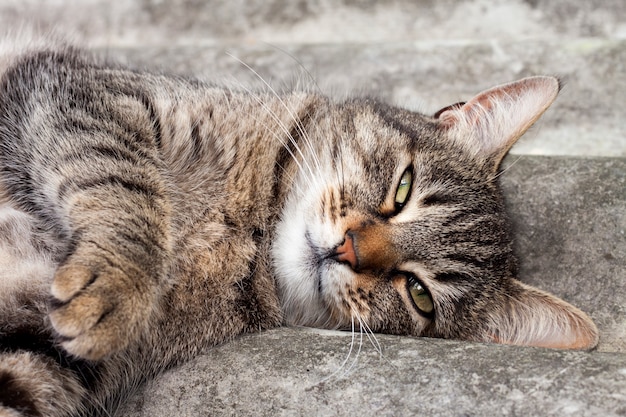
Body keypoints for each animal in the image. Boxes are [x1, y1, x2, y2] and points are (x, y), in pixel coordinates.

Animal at [0, 39, 596, 416]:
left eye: (419, 294)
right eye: (403, 188)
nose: (349, 249)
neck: (246, 230)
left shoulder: (42, 352)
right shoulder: (78, 94)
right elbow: (126, 184)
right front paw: (117, 285)